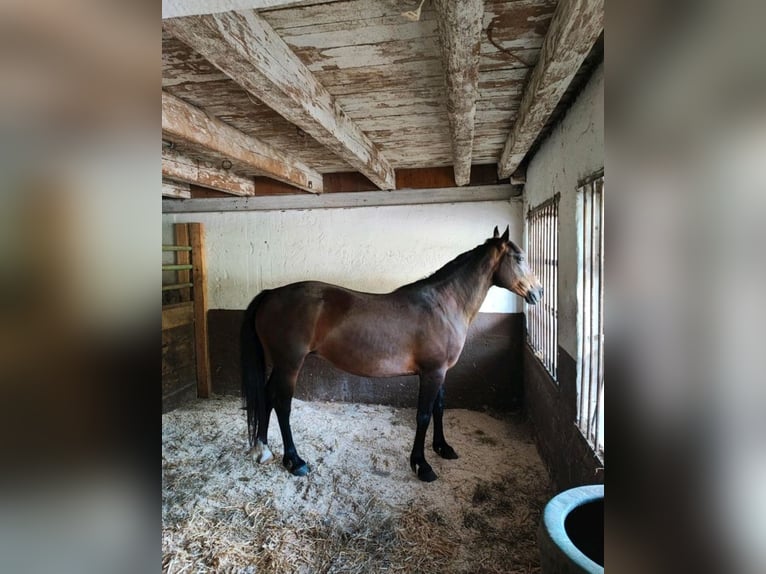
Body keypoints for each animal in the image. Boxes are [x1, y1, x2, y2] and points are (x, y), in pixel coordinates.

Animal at [240, 226, 543, 482]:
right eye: (519, 257)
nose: (537, 292)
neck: (443, 305)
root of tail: (271, 294)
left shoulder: (441, 371)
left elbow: (439, 407)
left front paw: (443, 447)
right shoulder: (432, 373)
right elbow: (423, 414)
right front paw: (421, 465)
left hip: (281, 365)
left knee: (266, 397)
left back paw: (262, 450)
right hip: (290, 364)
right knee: (282, 404)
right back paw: (295, 461)